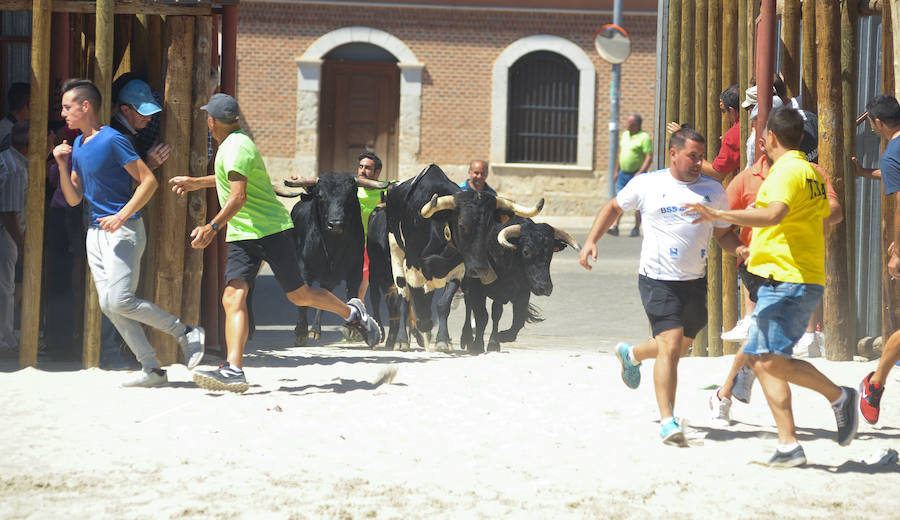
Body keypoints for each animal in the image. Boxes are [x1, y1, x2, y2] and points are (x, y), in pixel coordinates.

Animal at [382, 165, 540, 352]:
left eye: (490, 226)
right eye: (462, 226)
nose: (480, 269)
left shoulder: (458, 269)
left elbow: (443, 304)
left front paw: (443, 340)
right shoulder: (412, 268)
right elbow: (417, 304)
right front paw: (424, 326)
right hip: (395, 253)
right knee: (403, 297)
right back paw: (402, 340)